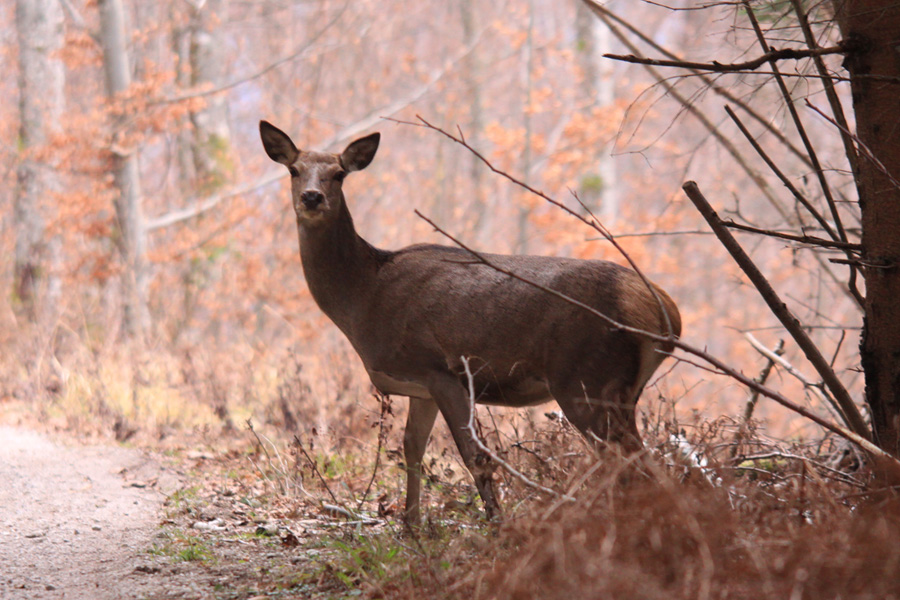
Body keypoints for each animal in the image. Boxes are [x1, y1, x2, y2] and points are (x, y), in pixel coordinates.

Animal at [260, 119, 684, 524]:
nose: (311, 197)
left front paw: (496, 527)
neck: (364, 298)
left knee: (631, 462)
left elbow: (475, 456)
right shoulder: (420, 387)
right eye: (294, 170)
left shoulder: (443, 368)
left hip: (586, 378)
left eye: (339, 174)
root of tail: (666, 313)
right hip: (620, 390)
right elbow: (412, 449)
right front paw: (412, 529)